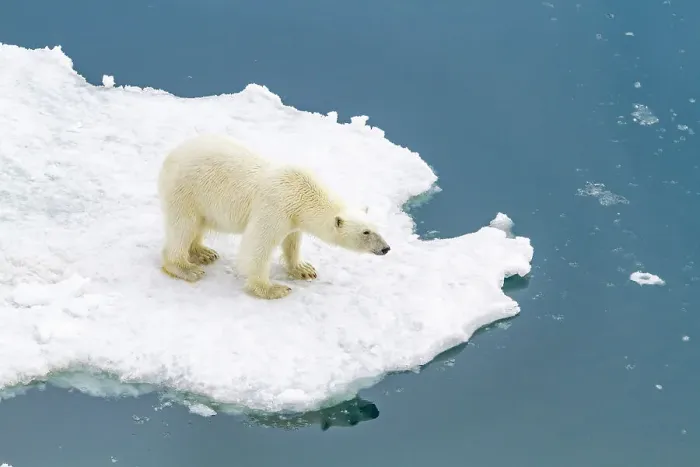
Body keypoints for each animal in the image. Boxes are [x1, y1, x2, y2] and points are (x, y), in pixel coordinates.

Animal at [157, 134, 391, 300]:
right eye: (366, 232)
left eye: (377, 228)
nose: (386, 248)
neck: (302, 192)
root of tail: (170, 156)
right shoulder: (275, 207)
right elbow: (257, 244)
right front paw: (272, 289)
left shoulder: (293, 217)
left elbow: (292, 241)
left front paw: (304, 269)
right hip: (187, 190)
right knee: (183, 226)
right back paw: (186, 268)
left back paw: (203, 253)